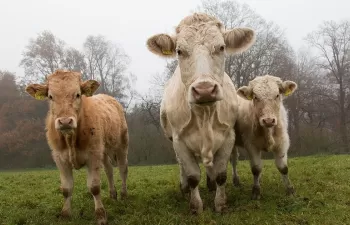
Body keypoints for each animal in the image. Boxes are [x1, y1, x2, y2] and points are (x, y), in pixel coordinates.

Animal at [25, 70, 129, 225]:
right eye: (50, 96)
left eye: (78, 94)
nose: (65, 121)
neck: (70, 140)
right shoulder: (60, 158)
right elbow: (66, 189)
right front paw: (65, 214)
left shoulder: (93, 155)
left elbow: (94, 187)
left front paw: (100, 215)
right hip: (103, 151)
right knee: (109, 170)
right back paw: (112, 195)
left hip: (122, 144)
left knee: (123, 169)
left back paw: (123, 195)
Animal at [146, 13, 256, 214]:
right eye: (179, 51)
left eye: (221, 47)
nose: (204, 90)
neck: (205, 115)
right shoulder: (179, 140)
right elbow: (192, 176)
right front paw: (196, 207)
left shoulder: (228, 136)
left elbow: (221, 174)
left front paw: (220, 204)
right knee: (182, 167)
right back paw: (184, 189)